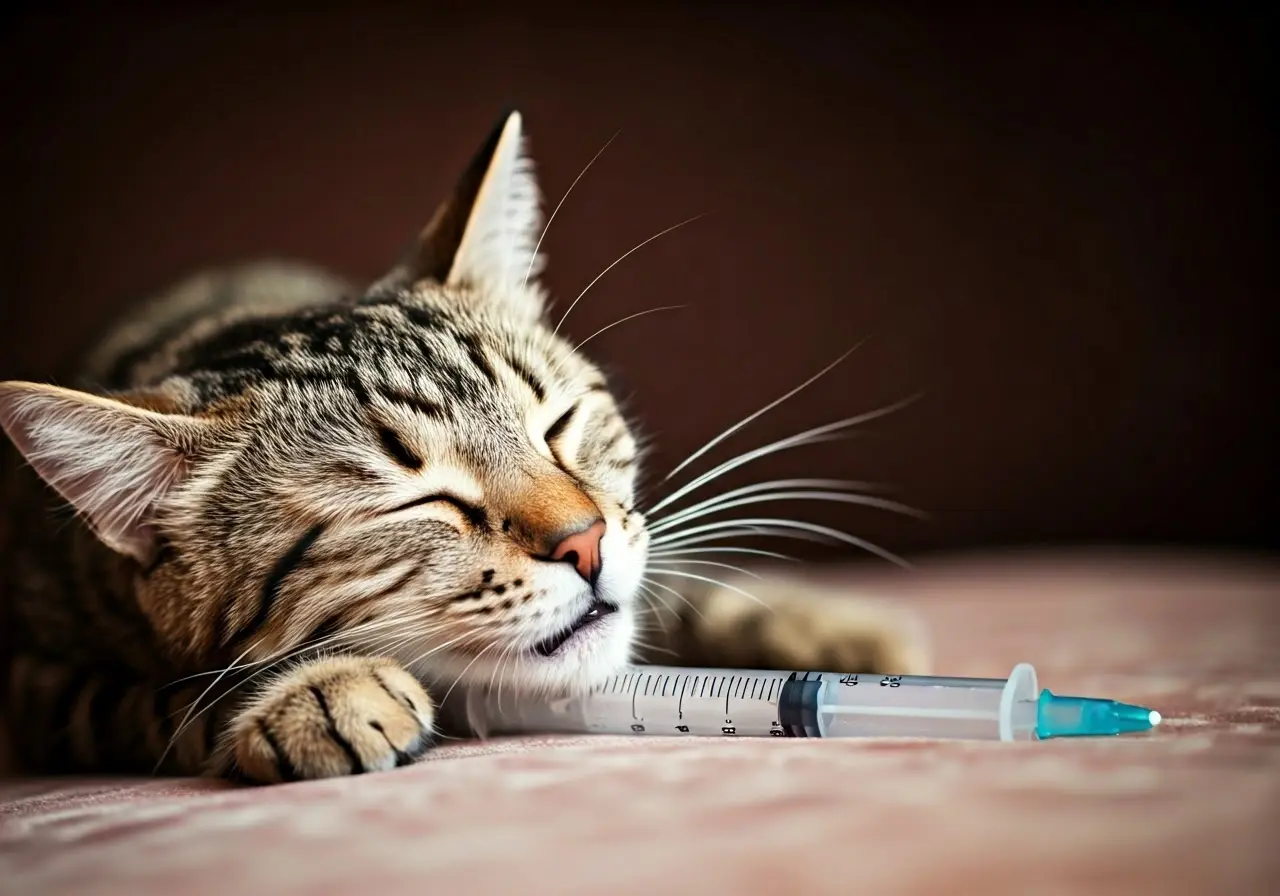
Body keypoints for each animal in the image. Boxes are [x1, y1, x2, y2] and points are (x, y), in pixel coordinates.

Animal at [0, 112, 926, 783]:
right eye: (421, 500)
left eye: (557, 425)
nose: (586, 542)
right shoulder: (39, 685)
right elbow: (158, 701)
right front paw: (323, 695)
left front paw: (819, 629)